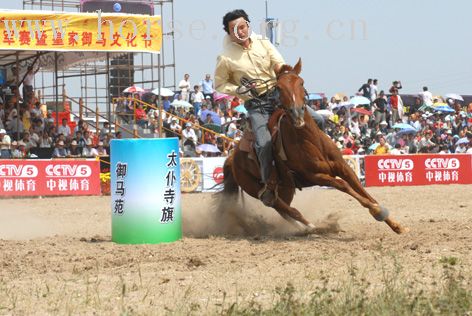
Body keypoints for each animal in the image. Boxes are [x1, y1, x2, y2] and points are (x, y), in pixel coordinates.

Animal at [223, 58, 408, 233]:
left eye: (301, 82)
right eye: (279, 87)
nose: (297, 114)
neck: (310, 141)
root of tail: (232, 158)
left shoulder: (343, 167)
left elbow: (362, 189)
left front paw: (396, 225)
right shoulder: (316, 176)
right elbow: (345, 186)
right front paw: (377, 211)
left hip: (285, 188)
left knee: (285, 211)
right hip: (257, 188)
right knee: (285, 208)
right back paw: (310, 227)